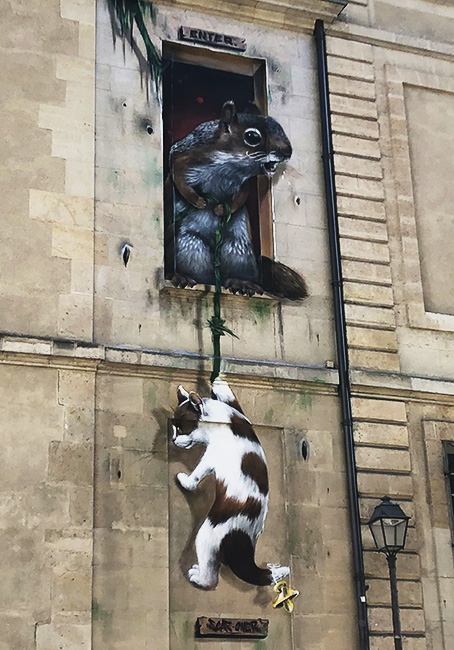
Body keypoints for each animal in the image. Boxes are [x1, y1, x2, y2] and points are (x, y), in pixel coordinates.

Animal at [165, 100, 308, 300]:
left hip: (238, 249)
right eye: (252, 136)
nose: (288, 151)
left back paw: (241, 282)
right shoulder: (184, 155)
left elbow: (241, 197)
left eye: (279, 127)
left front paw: (221, 209)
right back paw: (181, 276)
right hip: (189, 246)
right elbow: (178, 177)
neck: (230, 165)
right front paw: (199, 201)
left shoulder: (244, 184)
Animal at [171, 377, 290, 590]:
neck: (224, 420)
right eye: (172, 428)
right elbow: (230, 396)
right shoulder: (239, 412)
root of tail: (245, 544)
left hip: (205, 536)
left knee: (211, 578)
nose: (173, 439)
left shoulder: (211, 456)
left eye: (182, 429)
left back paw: (197, 576)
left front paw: (185, 481)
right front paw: (218, 382)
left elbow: (196, 475)